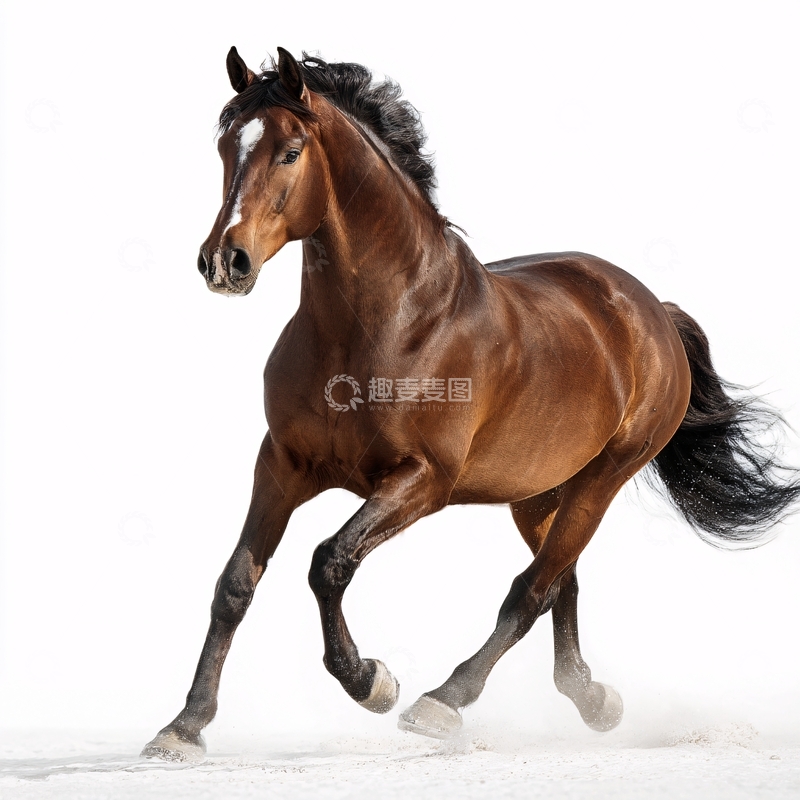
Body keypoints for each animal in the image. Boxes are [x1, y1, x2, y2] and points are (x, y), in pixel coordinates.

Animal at [141, 47, 800, 762]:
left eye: (290, 151)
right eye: (226, 146)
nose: (222, 262)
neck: (383, 322)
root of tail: (649, 309)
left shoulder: (422, 480)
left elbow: (329, 563)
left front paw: (373, 681)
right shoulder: (283, 464)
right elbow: (235, 583)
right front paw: (183, 726)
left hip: (602, 478)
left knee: (532, 589)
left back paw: (444, 701)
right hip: (537, 492)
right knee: (561, 579)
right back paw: (593, 700)